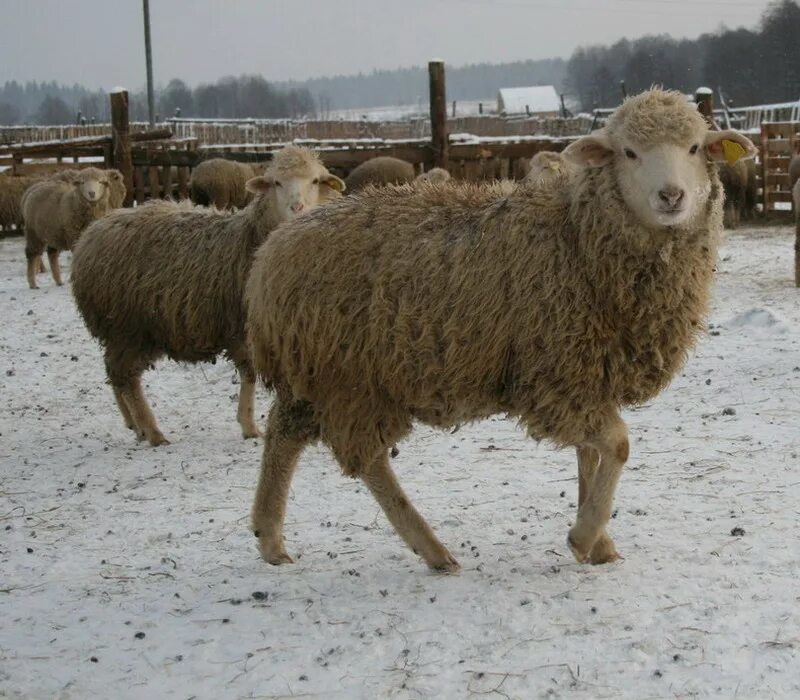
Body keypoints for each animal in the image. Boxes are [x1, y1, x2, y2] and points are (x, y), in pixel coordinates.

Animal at [69, 145, 344, 446]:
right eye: (276, 183)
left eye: (315, 181)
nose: (297, 208)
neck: (250, 240)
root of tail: (90, 235)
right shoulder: (244, 327)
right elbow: (249, 375)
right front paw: (249, 425)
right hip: (127, 327)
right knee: (126, 377)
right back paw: (152, 431)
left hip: (123, 330)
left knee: (114, 374)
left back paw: (134, 425)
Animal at [245, 90, 756, 576]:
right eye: (628, 152)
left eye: (694, 147)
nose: (671, 196)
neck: (576, 236)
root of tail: (271, 254)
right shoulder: (554, 372)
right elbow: (617, 444)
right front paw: (584, 536)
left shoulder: (586, 371)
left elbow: (589, 455)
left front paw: (598, 542)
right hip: (348, 376)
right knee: (367, 460)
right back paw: (432, 549)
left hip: (316, 374)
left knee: (285, 433)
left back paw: (270, 537)